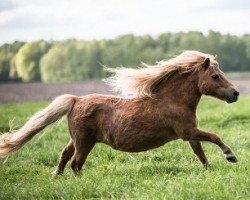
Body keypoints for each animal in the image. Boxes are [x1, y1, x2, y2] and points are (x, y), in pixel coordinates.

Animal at [0, 50, 239, 175]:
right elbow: (215, 137)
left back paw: (57, 177)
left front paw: (209, 170)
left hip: (76, 139)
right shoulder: (187, 132)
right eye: (215, 76)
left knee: (65, 155)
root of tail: (76, 100)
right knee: (76, 163)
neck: (173, 101)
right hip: (85, 142)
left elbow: (201, 154)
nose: (235, 93)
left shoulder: (189, 134)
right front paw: (231, 156)